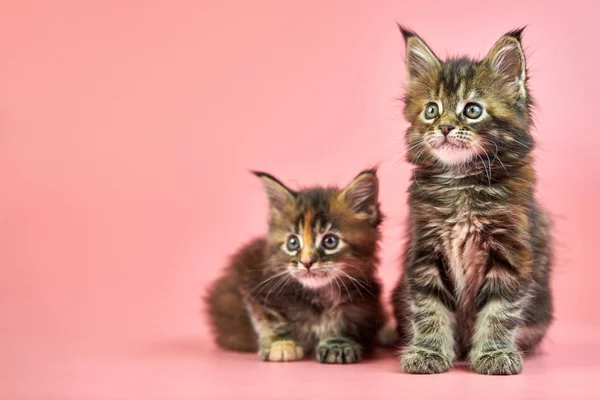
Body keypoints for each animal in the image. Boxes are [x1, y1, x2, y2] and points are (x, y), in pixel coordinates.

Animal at [204, 170, 386, 364]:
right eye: (293, 242)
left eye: (330, 241)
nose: (307, 262)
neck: (318, 296)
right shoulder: (253, 285)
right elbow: (268, 319)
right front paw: (281, 344)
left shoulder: (365, 302)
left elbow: (347, 322)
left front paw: (338, 343)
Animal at [394, 27, 552, 376]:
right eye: (431, 110)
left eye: (472, 110)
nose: (444, 127)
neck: (462, 183)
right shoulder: (424, 250)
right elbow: (429, 307)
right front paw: (427, 352)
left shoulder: (511, 252)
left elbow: (499, 311)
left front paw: (494, 353)